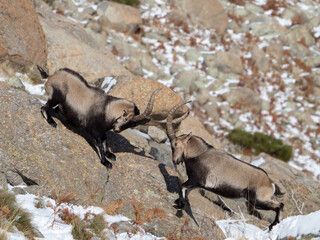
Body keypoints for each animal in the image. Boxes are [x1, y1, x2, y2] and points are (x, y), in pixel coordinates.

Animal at [166, 101, 284, 231]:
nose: (175, 160)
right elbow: (186, 190)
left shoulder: (197, 180)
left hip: (259, 200)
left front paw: (180, 206)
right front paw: (179, 202)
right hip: (253, 202)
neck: (199, 154)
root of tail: (271, 183)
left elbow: (182, 186)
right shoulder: (196, 184)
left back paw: (272, 226)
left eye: (175, 144)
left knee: (279, 205)